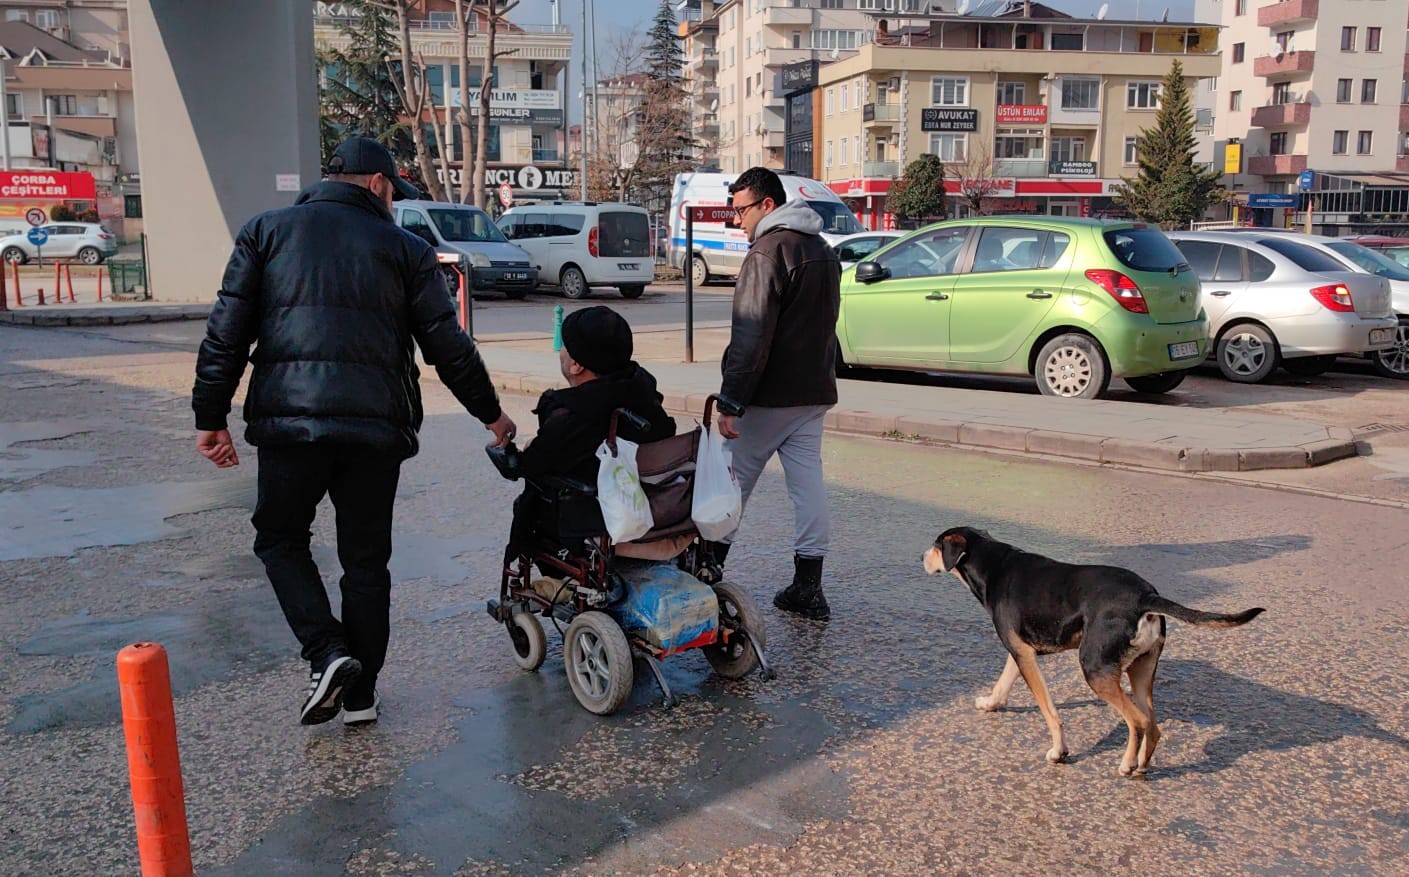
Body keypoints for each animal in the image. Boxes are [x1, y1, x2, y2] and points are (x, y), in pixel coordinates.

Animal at [924, 530, 1268, 778]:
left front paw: (1059, 752)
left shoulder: (1025, 656)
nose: (920, 556)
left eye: (936, 546)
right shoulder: (1020, 652)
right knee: (1153, 726)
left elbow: (1051, 713)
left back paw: (1127, 764)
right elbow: (1003, 681)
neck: (994, 564)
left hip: (1095, 669)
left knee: (1138, 721)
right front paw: (991, 703)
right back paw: (1141, 766)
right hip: (1139, 672)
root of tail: (1146, 596)